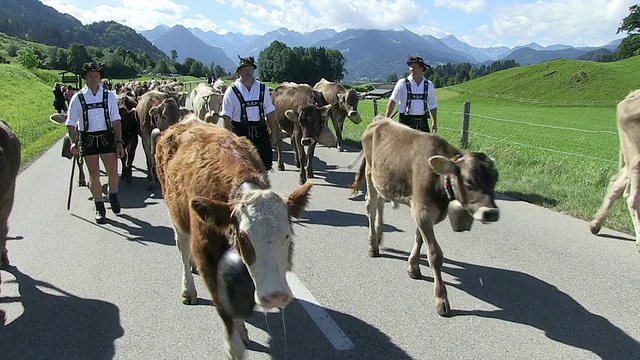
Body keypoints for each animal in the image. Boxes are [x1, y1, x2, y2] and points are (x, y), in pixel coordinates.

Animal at [158, 119, 312, 358]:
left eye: (287, 234)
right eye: (244, 237)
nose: (275, 296)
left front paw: (242, 328)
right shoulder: (206, 258)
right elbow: (228, 321)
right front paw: (235, 342)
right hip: (176, 218)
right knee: (182, 249)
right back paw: (188, 289)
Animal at [350, 115, 500, 316]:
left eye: (495, 180)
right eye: (469, 181)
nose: (491, 213)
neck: (439, 179)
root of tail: (381, 118)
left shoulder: (425, 212)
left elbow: (419, 239)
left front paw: (413, 266)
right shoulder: (422, 211)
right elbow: (435, 254)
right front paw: (441, 299)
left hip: (383, 180)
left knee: (380, 204)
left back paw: (380, 236)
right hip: (369, 174)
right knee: (371, 206)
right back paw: (373, 246)